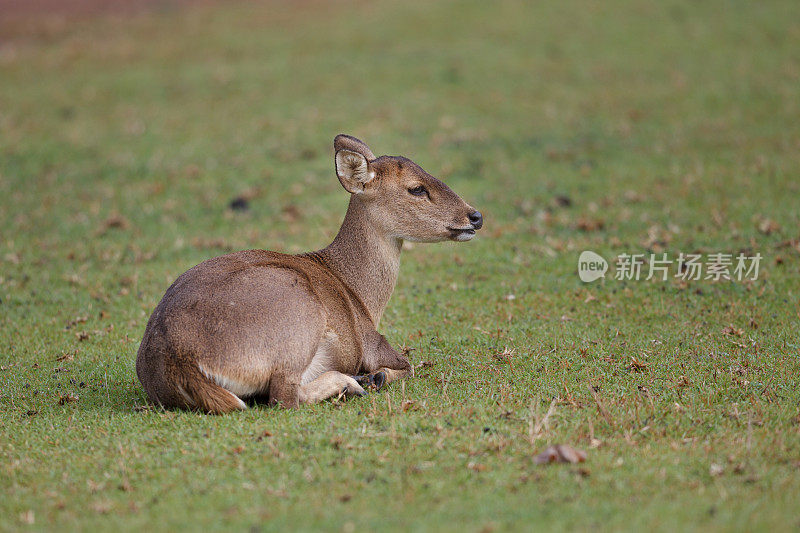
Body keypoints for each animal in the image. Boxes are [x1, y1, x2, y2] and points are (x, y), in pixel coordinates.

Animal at [136, 133, 482, 412]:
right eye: (416, 188)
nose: (475, 216)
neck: (361, 295)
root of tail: (180, 360)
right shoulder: (372, 344)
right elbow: (407, 366)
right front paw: (375, 377)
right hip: (299, 318)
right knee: (283, 396)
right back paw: (356, 384)